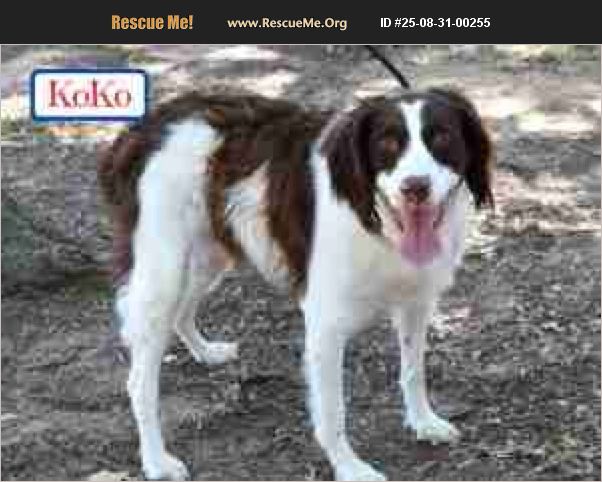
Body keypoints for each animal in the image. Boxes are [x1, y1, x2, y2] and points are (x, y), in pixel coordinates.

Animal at [98, 87, 493, 481]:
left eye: (441, 137)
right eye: (387, 143)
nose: (415, 188)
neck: (376, 219)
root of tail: (147, 125)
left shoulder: (416, 303)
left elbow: (413, 372)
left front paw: (423, 422)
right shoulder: (325, 326)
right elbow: (333, 411)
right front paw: (349, 467)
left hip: (206, 255)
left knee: (182, 313)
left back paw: (206, 351)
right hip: (163, 271)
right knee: (139, 382)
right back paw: (156, 460)